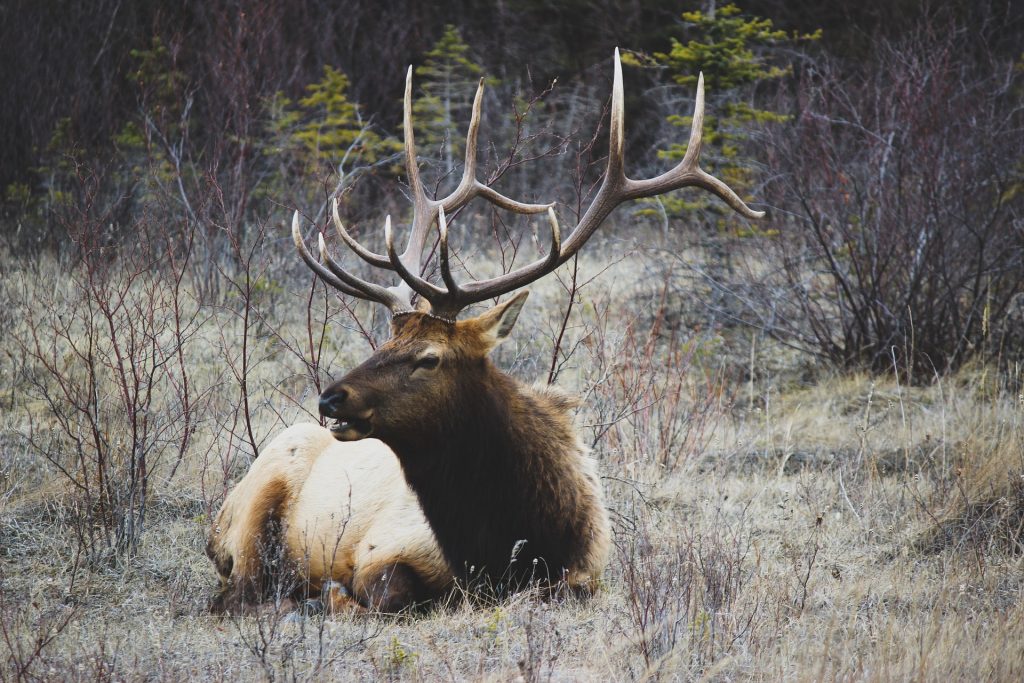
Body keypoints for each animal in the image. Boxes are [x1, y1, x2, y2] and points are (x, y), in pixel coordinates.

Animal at [207, 49, 761, 614]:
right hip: (254, 512)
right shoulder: (381, 548)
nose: (330, 398)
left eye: (429, 357)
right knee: (238, 591)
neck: (511, 542)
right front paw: (331, 593)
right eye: (385, 342)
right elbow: (381, 593)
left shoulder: (585, 574)